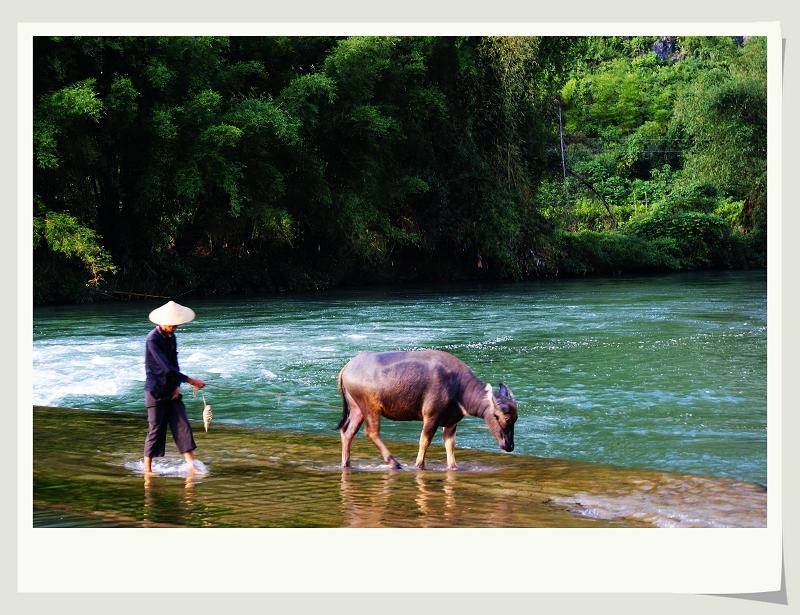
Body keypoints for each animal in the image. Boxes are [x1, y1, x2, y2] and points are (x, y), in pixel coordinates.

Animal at [336, 352, 520, 472]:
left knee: (347, 431)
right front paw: (419, 465)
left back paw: (346, 463)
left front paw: (454, 467)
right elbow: (424, 441)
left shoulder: (451, 422)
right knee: (371, 432)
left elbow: (450, 445)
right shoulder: (431, 415)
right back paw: (394, 463)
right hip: (370, 407)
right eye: (505, 417)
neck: (460, 393)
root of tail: (344, 370)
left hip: (356, 408)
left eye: (516, 418)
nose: (509, 446)